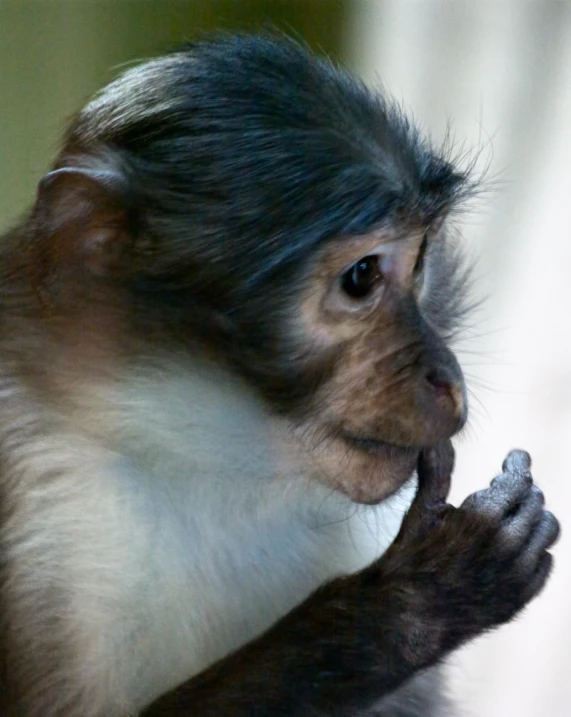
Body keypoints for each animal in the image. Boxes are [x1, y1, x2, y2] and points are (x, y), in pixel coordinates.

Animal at [0, 33, 560, 716]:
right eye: (362, 276)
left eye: (422, 261)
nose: (447, 379)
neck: (210, 465)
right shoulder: (36, 487)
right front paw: (411, 601)